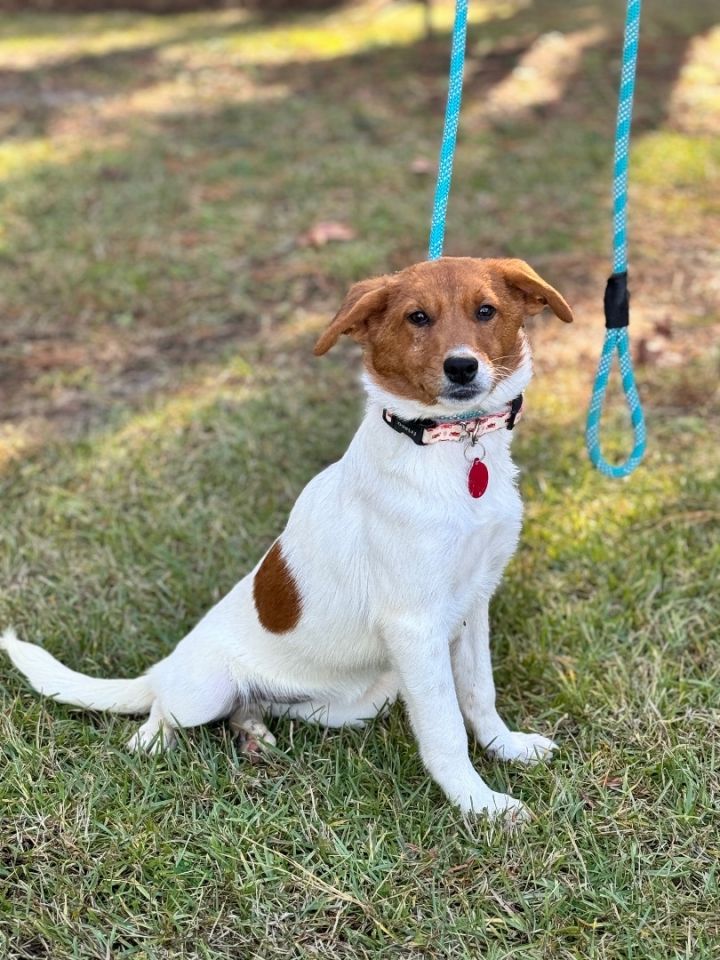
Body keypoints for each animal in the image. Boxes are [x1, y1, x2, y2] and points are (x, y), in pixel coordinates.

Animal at [1, 258, 572, 820]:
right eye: (417, 318)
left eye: (486, 311)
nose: (462, 367)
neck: (452, 447)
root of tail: (164, 668)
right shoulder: (414, 625)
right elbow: (445, 727)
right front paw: (479, 803)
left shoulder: (471, 605)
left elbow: (479, 694)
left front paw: (507, 749)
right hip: (205, 689)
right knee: (163, 712)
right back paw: (156, 740)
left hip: (361, 701)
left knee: (253, 708)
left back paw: (253, 732)